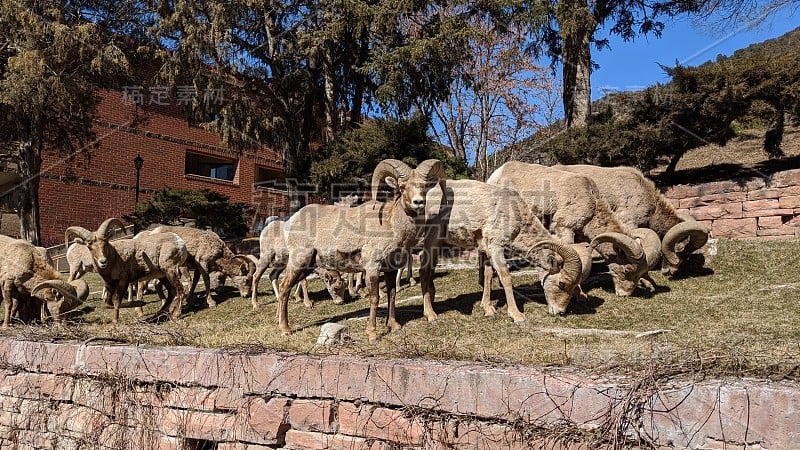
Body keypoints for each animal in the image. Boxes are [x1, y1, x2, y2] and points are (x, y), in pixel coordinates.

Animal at [278, 160, 446, 340]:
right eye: (402, 187)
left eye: (425, 186)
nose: (418, 202)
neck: (391, 224)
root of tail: (292, 220)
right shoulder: (373, 268)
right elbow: (375, 298)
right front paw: (373, 334)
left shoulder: (390, 269)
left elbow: (392, 295)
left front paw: (394, 326)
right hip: (299, 260)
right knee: (284, 287)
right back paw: (285, 329)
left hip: (308, 265)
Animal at [422, 178, 584, 318]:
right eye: (561, 284)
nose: (560, 312)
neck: (514, 213)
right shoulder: (496, 247)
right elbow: (505, 277)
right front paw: (517, 315)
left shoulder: (487, 250)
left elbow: (488, 275)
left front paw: (487, 308)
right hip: (432, 238)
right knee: (424, 270)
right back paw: (430, 314)